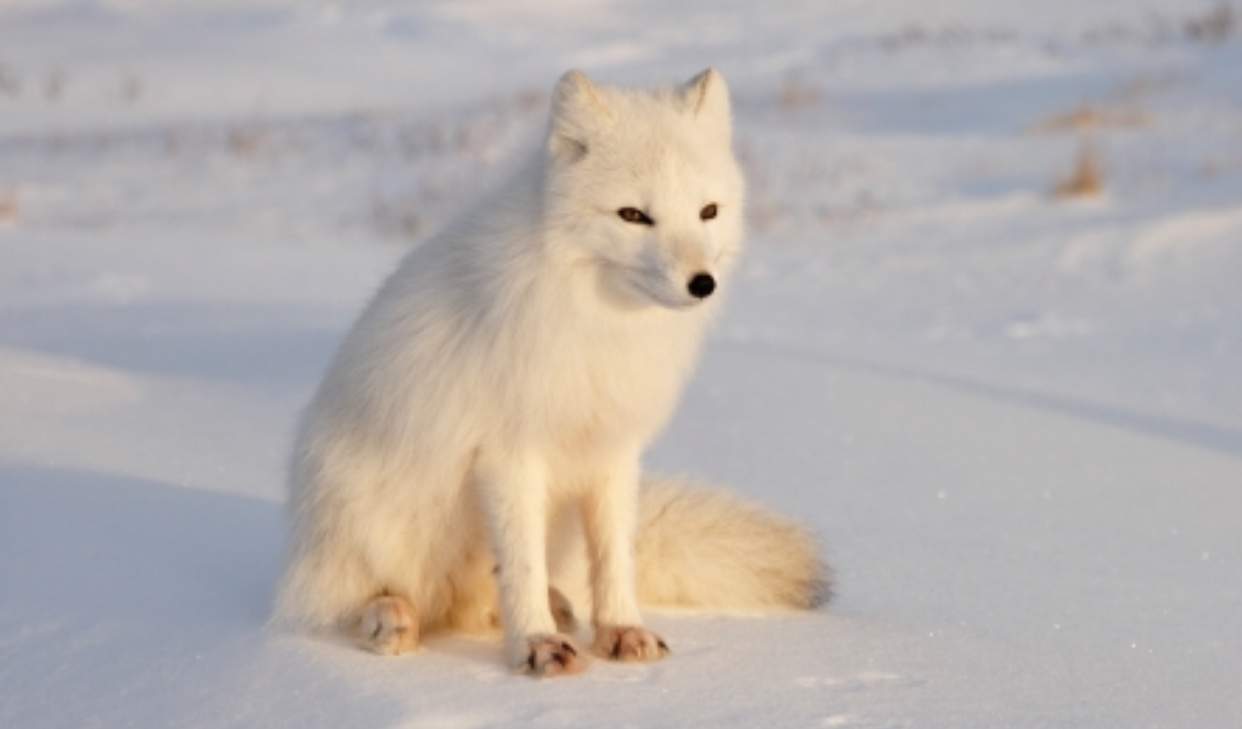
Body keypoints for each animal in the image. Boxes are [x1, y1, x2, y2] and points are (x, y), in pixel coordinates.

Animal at [276, 69, 829, 680]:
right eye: (634, 216)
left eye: (708, 211)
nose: (701, 283)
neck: (599, 322)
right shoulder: (509, 453)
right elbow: (522, 564)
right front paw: (536, 644)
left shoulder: (612, 448)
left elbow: (613, 556)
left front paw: (620, 630)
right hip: (366, 518)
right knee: (338, 606)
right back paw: (390, 618)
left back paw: (555, 610)